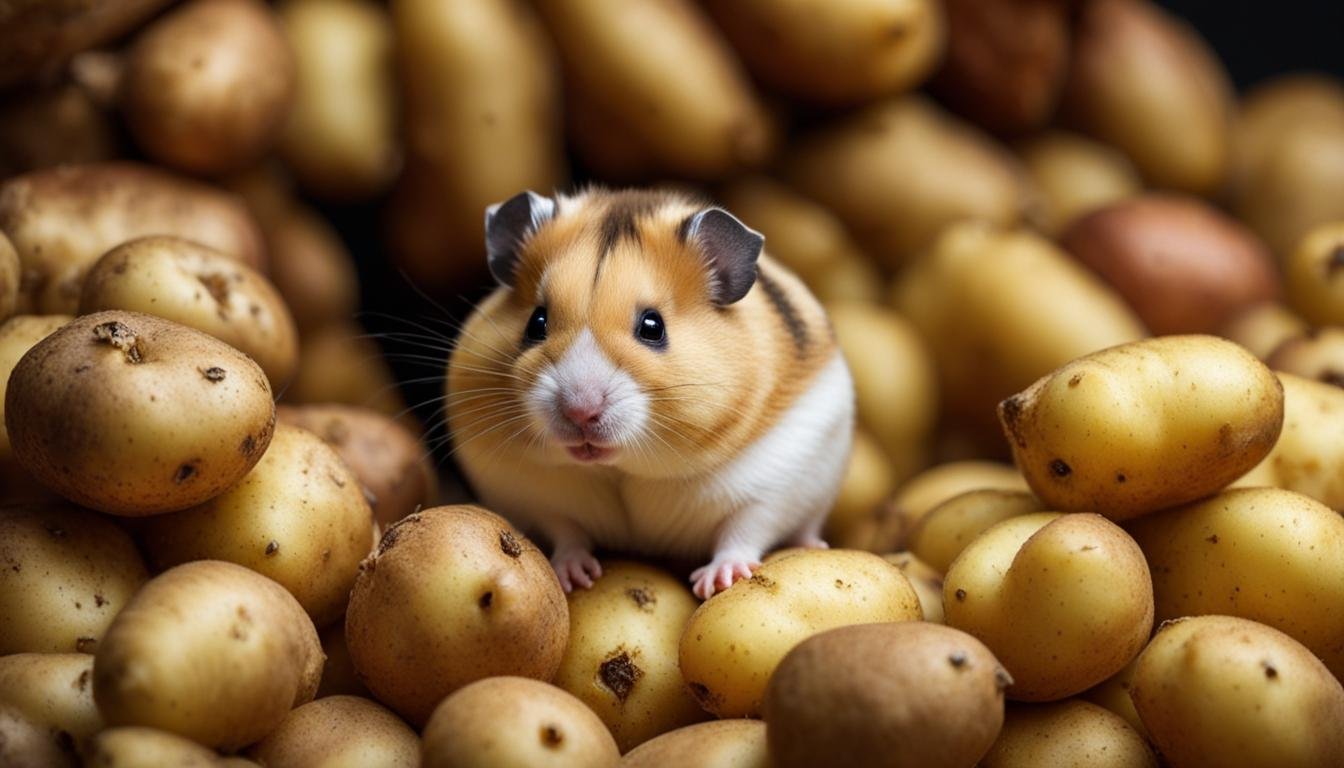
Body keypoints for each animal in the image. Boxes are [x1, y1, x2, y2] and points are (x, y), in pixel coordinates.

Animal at [447, 188, 854, 598]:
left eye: (653, 327)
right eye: (536, 322)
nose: (580, 412)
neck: (620, 467)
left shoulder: (774, 482)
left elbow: (743, 530)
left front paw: (715, 583)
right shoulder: (533, 494)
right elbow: (565, 531)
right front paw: (574, 578)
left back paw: (813, 545)